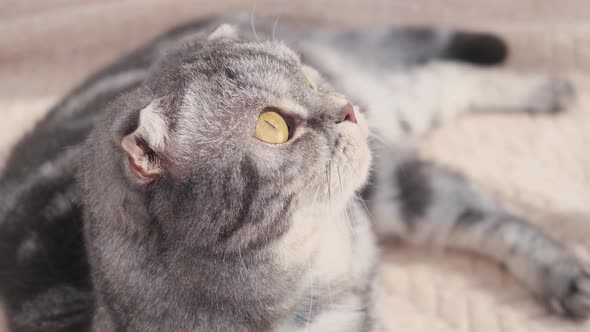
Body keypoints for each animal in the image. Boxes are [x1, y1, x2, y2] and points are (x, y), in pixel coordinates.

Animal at [1, 13, 590, 332]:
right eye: (272, 126)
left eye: (307, 76)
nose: (347, 109)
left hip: (393, 171)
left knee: (447, 87)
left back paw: (551, 91)